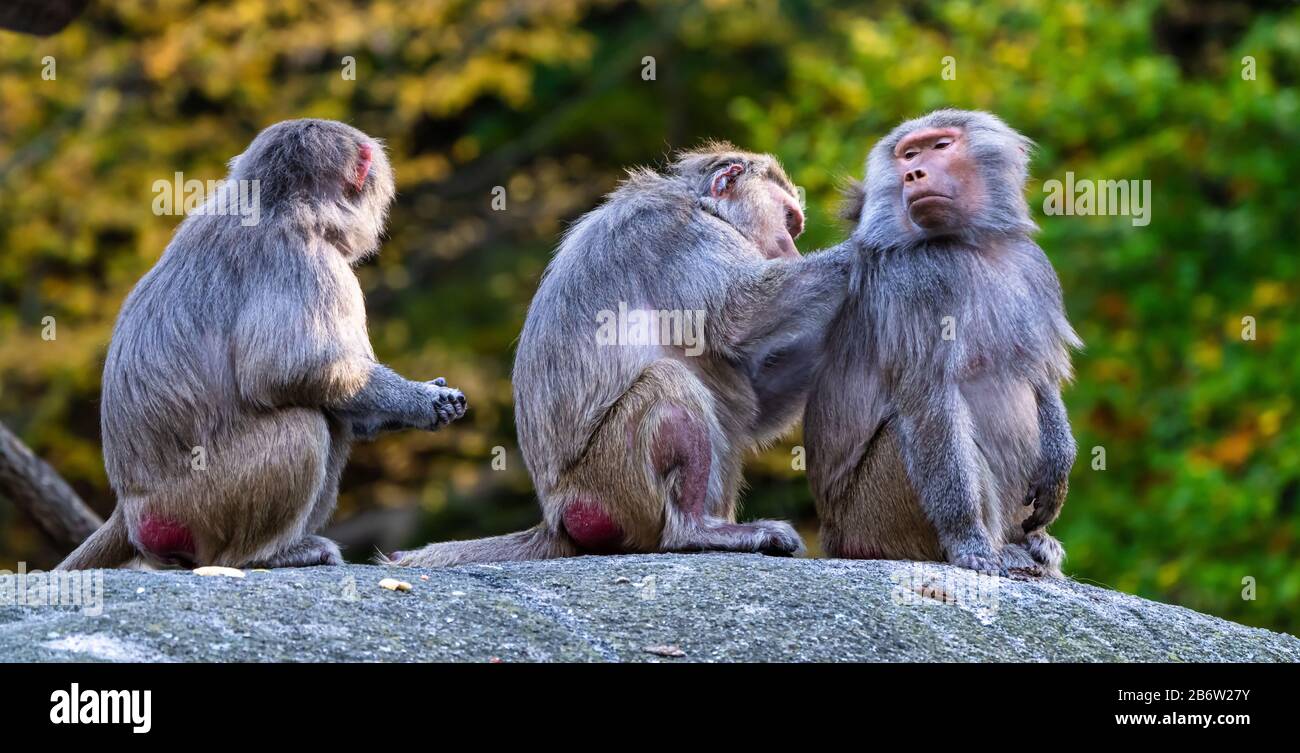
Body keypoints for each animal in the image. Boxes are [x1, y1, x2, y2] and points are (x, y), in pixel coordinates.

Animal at [57, 119, 467, 571]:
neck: (279, 205)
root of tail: (131, 507)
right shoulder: (309, 262)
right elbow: (289, 372)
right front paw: (424, 400)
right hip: (202, 501)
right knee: (303, 425)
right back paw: (266, 556)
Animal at [385, 143, 848, 567]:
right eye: (789, 220)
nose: (790, 251)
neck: (703, 207)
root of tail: (556, 517)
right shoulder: (677, 236)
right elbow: (739, 314)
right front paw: (861, 251)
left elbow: (756, 404)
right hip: (612, 485)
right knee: (669, 384)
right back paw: (695, 531)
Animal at [805, 109, 1080, 577]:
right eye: (909, 154)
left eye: (940, 146)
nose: (913, 173)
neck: (971, 245)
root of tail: (834, 538)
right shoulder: (916, 285)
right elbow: (929, 401)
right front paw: (968, 540)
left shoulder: (1034, 268)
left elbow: (1038, 375)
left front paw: (1058, 472)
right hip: (872, 519)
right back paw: (999, 548)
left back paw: (1035, 544)